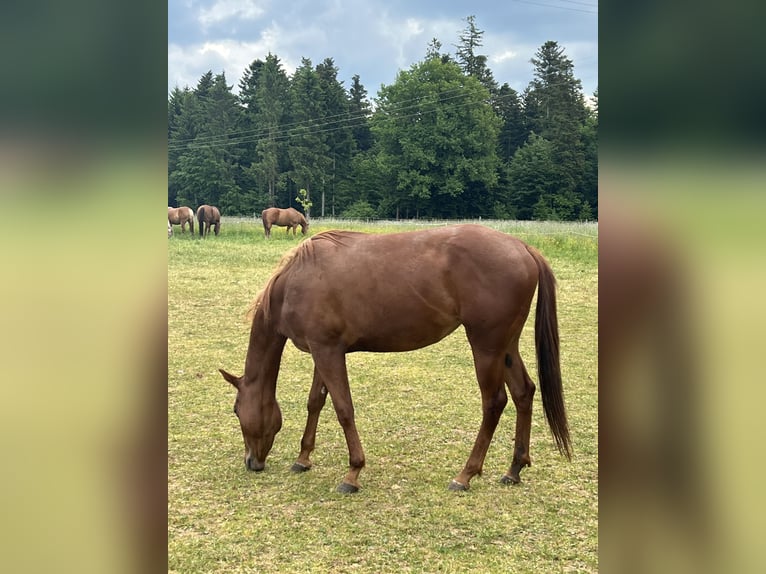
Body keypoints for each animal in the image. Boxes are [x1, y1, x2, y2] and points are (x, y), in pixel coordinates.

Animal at [219, 225, 571, 493]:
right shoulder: (324, 350)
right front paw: (303, 458)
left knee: (494, 403)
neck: (296, 280)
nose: (251, 462)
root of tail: (524, 248)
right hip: (505, 347)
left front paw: (353, 473)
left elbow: (343, 409)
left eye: (236, 411)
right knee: (524, 392)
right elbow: (316, 401)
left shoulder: (327, 351)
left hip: (486, 347)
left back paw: (465, 474)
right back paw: (514, 469)